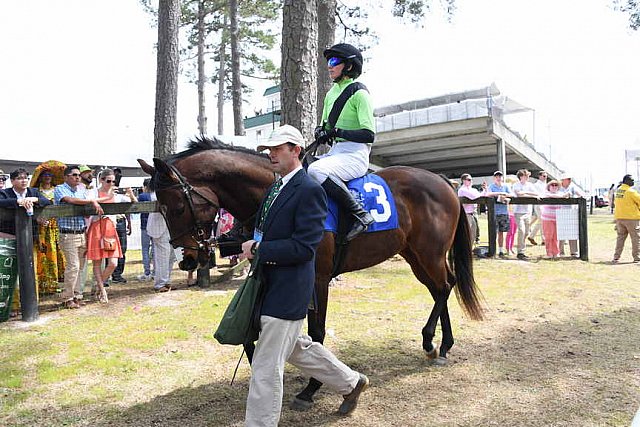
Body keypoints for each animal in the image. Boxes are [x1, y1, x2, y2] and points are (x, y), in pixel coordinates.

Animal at [138, 137, 482, 412]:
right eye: (160, 209)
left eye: (177, 207)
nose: (188, 260)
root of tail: (442, 181)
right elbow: (253, 333)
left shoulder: (317, 279)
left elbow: (317, 333)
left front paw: (311, 387)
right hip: (415, 255)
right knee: (440, 288)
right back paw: (441, 344)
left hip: (429, 253)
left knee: (445, 286)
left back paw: (433, 342)